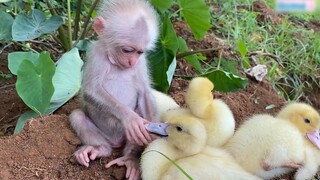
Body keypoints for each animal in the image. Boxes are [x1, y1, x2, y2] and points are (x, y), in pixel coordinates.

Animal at [70, 0, 160, 179]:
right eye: (127, 50)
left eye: (140, 52)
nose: (132, 62)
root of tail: (116, 141)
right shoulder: (96, 53)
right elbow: (91, 90)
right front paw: (129, 117)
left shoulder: (142, 62)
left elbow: (145, 93)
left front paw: (154, 134)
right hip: (104, 134)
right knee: (78, 116)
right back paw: (100, 149)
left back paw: (130, 158)